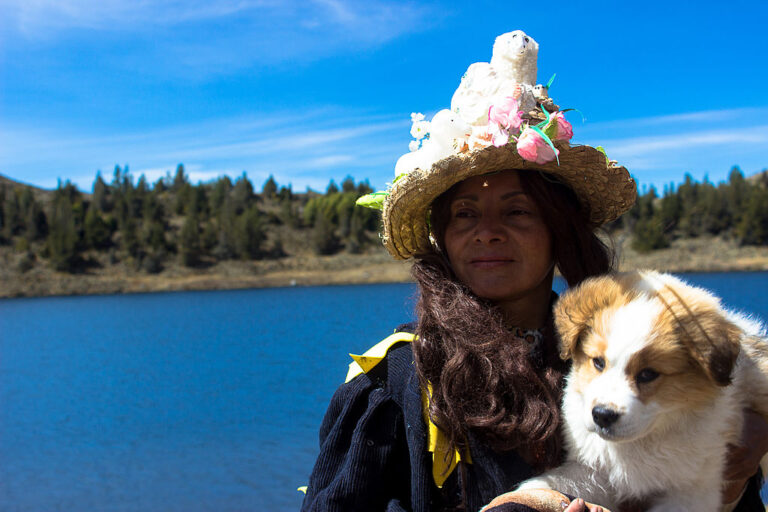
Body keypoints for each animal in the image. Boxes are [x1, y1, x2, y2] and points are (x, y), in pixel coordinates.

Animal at [516, 270, 768, 510]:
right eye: (598, 362)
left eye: (648, 374)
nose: (602, 416)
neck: (642, 442)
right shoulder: (595, 471)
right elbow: (543, 486)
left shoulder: (692, 490)